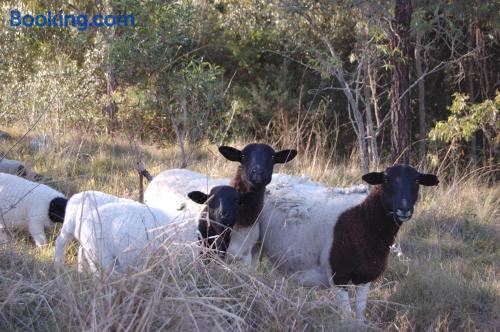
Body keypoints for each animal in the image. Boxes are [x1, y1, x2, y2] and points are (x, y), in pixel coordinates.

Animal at [256, 165, 440, 318]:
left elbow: (359, 314)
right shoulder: (338, 275)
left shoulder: (365, 275)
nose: (404, 209)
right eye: (386, 180)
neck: (364, 218)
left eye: (417, 181)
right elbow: (346, 317)